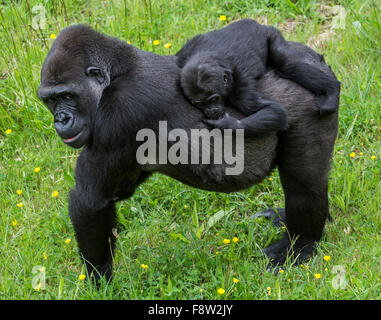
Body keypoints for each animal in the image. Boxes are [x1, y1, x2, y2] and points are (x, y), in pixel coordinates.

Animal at [175, 17, 338, 135]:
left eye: (213, 99)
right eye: (199, 104)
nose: (211, 111)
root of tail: (257, 24)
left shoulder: (240, 88)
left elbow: (274, 111)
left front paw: (227, 124)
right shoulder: (182, 56)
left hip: (271, 34)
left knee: (287, 65)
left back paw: (332, 90)